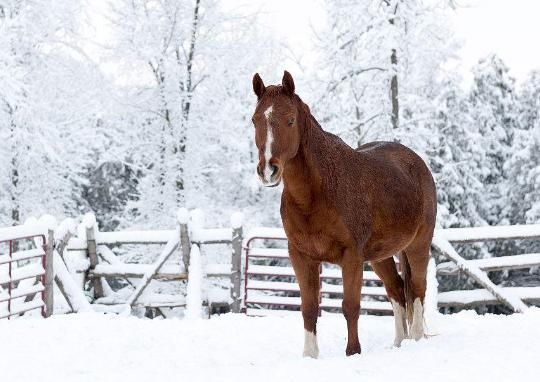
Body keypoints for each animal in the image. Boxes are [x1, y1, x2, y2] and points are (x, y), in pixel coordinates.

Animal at [251, 69, 436, 358]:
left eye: (290, 120)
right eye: (255, 120)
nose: (268, 170)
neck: (316, 194)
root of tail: (416, 162)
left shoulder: (351, 257)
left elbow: (350, 307)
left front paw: (353, 353)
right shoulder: (302, 257)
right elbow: (309, 309)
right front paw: (310, 356)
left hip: (418, 245)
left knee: (417, 290)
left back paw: (415, 341)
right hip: (380, 256)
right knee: (396, 290)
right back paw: (399, 343)